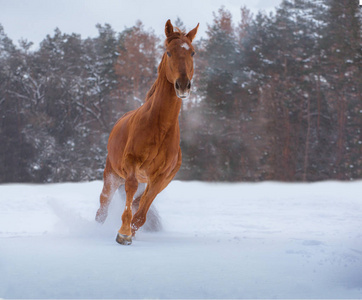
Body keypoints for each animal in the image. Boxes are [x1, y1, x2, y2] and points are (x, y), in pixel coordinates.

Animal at [94, 18, 199, 245]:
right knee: (103, 208)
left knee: (137, 202)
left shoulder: (160, 178)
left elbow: (141, 212)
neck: (160, 127)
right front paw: (124, 232)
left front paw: (129, 232)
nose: (183, 85)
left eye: (193, 52)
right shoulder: (131, 164)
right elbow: (131, 190)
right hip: (112, 175)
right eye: (168, 52)